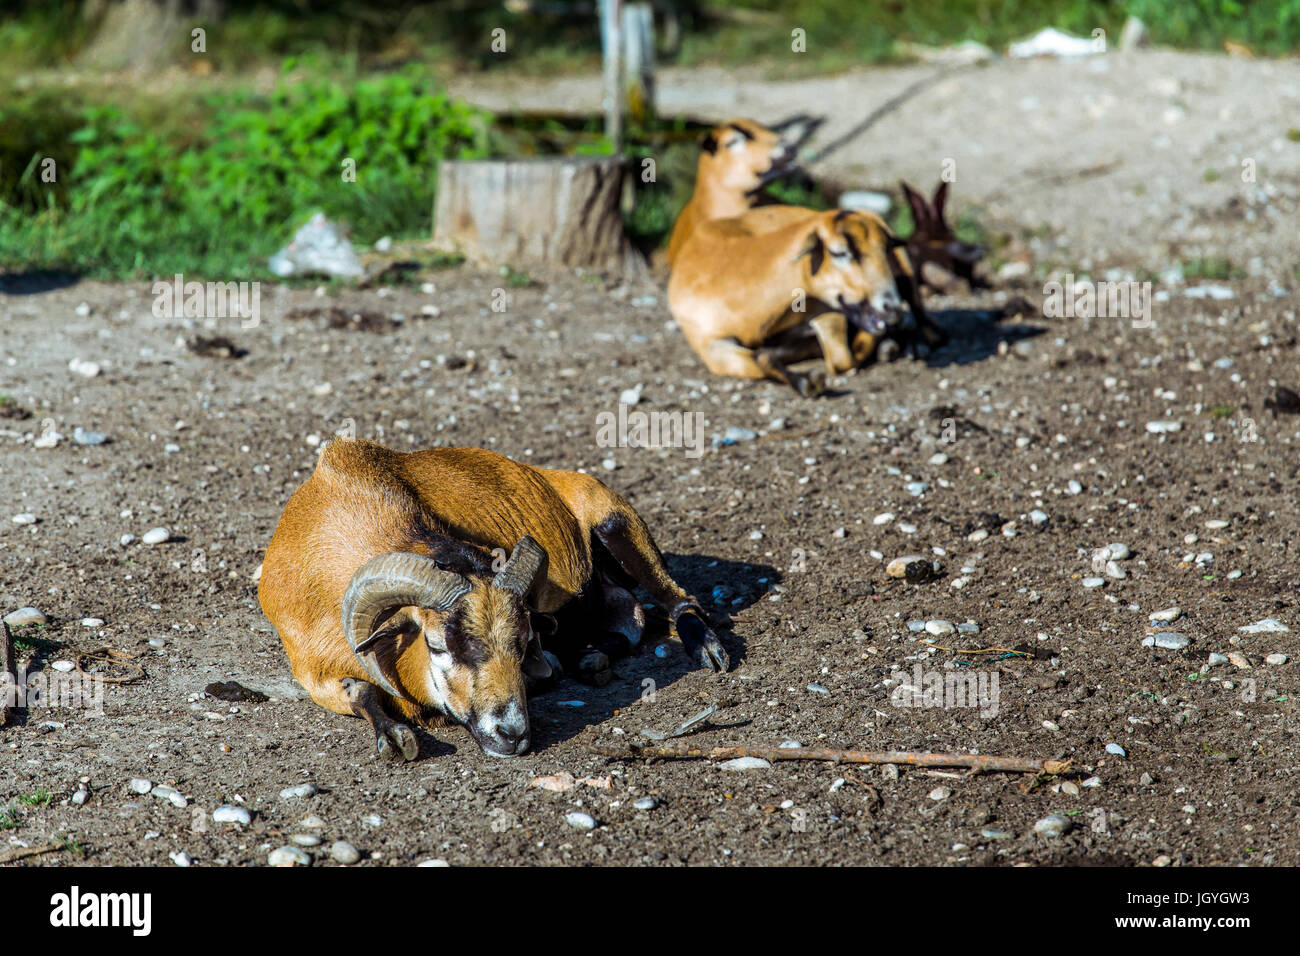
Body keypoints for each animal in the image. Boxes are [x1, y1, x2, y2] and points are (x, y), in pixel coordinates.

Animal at [258, 439, 727, 761]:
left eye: (523, 643)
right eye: (437, 646)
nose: (512, 735)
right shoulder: (312, 672)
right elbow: (360, 691)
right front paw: (394, 737)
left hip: (616, 523)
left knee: (677, 600)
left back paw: (709, 650)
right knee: (628, 612)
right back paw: (589, 658)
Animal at [668, 206, 907, 395]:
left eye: (886, 250)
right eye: (839, 252)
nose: (892, 306)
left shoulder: (826, 310)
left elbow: (841, 359)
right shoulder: (710, 345)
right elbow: (757, 359)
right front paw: (806, 381)